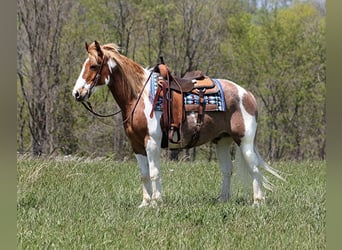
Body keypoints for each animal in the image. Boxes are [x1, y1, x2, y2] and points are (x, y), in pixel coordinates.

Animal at [72, 40, 284, 207]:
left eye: (93, 66)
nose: (77, 93)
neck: (139, 96)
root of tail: (247, 95)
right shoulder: (136, 144)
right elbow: (144, 174)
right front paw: (145, 203)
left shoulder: (152, 142)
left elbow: (154, 172)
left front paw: (156, 202)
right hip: (222, 141)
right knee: (227, 170)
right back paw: (222, 200)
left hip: (244, 141)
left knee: (254, 167)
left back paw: (258, 202)